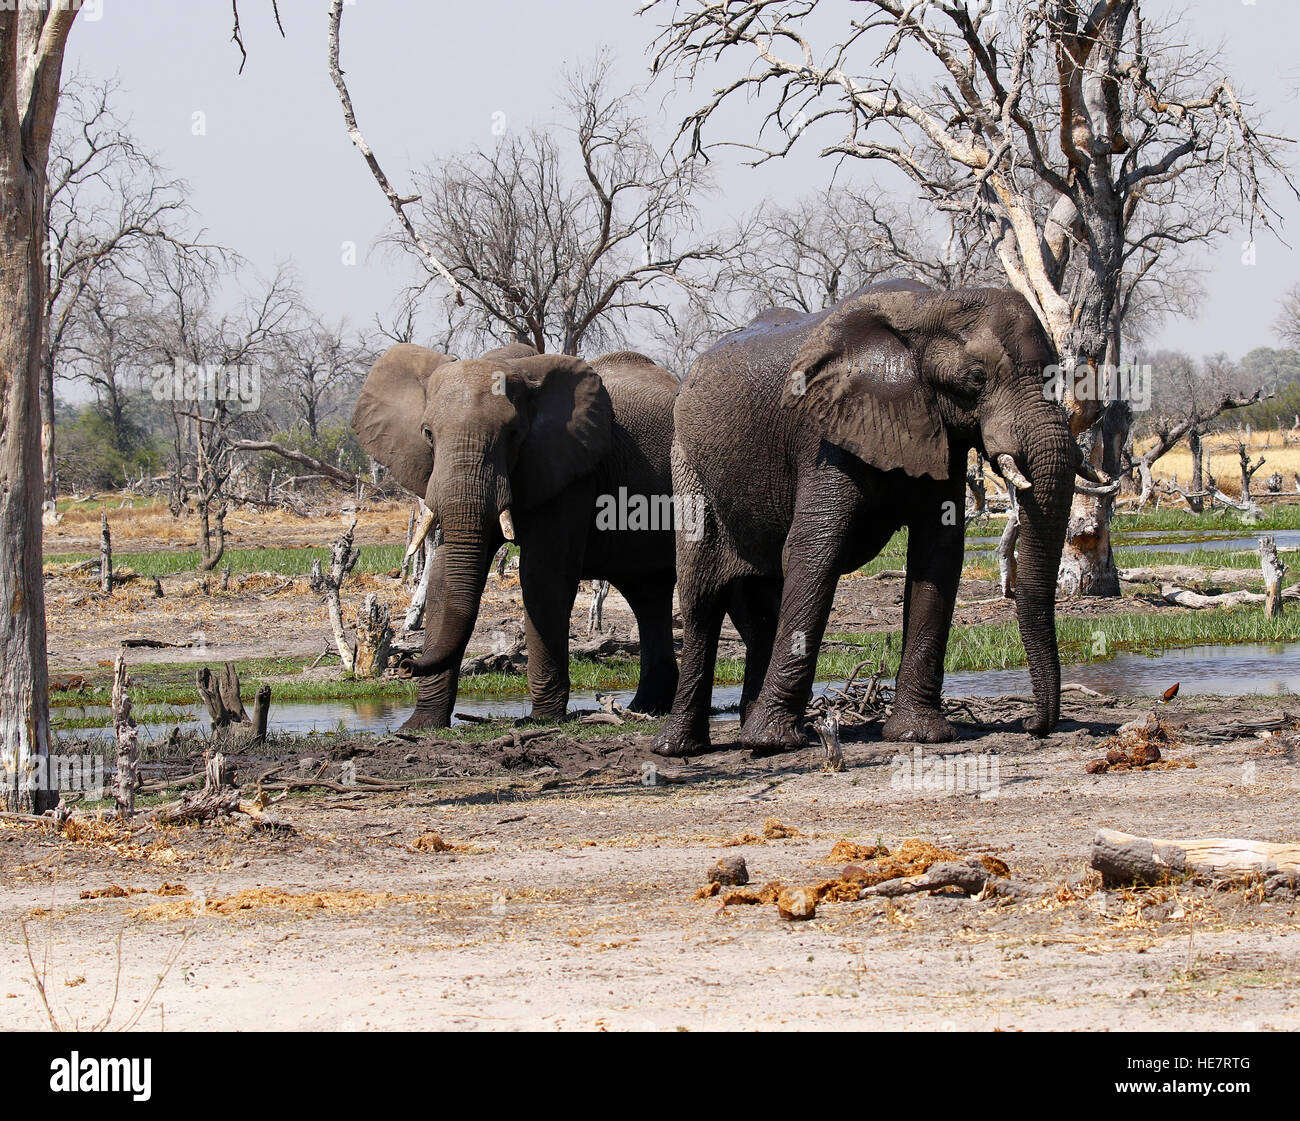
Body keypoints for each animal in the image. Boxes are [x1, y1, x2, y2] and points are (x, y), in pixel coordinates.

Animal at [353, 343, 681, 728]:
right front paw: (420, 726)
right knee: (647, 593)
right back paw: (646, 709)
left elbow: (542, 576)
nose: (404, 665)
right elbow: (443, 578)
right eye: (428, 434)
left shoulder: (570, 472)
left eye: (512, 434)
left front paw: (542, 720)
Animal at [660, 278, 1086, 764]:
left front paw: (920, 735)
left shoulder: (938, 433)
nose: (1033, 726)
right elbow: (814, 552)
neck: (929, 306)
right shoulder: (824, 435)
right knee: (701, 596)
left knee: (758, 606)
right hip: (687, 463)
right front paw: (771, 744)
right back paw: (680, 749)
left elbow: (938, 555)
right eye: (977, 378)